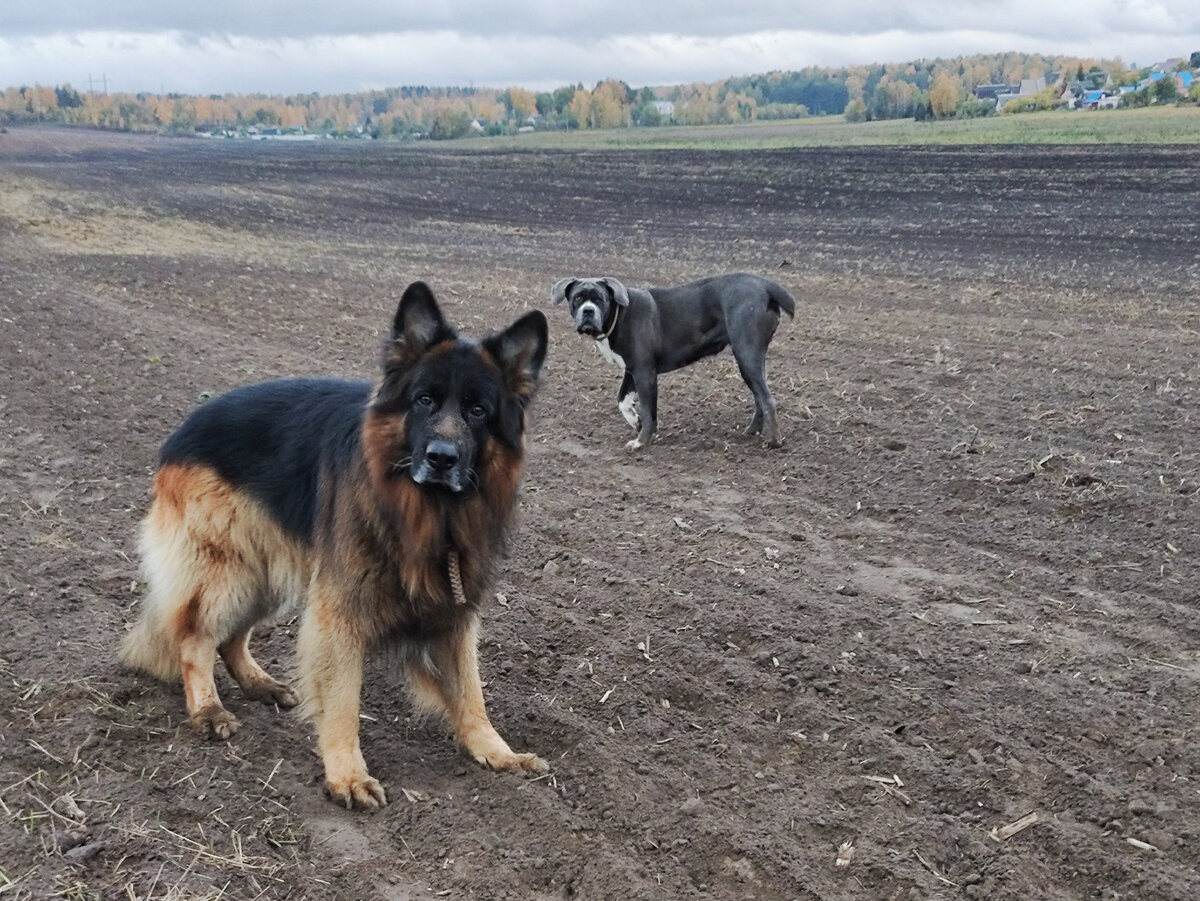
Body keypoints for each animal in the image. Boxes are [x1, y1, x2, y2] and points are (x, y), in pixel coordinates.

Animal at [117, 281, 549, 811]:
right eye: (424, 400)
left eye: (478, 410)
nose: (441, 458)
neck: (426, 513)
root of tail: (188, 423)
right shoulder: (340, 610)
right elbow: (343, 699)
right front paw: (347, 774)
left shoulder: (454, 611)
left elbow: (471, 691)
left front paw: (496, 751)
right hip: (230, 571)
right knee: (196, 637)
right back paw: (208, 710)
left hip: (267, 574)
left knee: (232, 636)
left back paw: (258, 684)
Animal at [552, 271, 796, 448]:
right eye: (578, 298)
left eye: (600, 299)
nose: (588, 311)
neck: (619, 315)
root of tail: (766, 285)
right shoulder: (631, 370)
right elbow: (622, 400)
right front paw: (635, 421)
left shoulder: (645, 372)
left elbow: (649, 410)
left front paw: (641, 441)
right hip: (752, 358)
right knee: (759, 396)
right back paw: (752, 431)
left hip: (746, 353)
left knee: (767, 399)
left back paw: (773, 442)